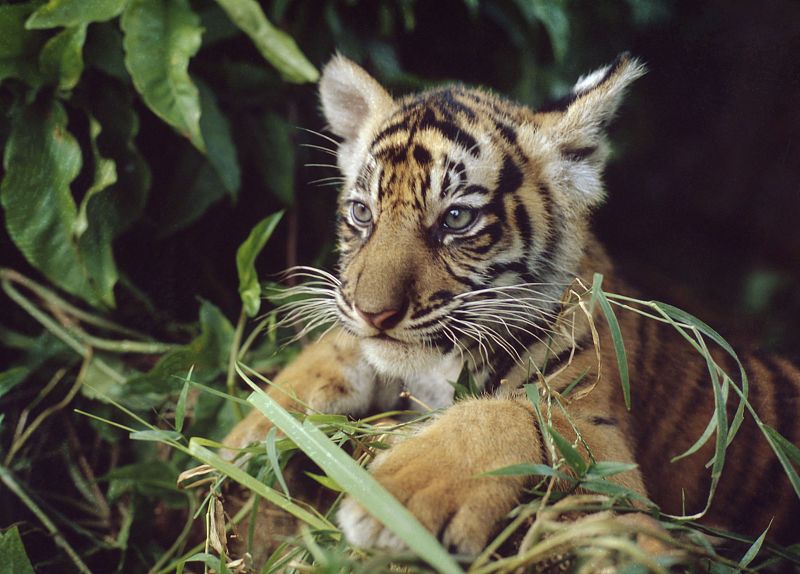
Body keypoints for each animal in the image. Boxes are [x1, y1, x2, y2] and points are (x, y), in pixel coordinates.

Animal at [224, 54, 800, 560]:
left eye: (456, 219)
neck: (436, 370)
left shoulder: (610, 465)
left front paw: (395, 500)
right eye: (362, 213)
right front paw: (250, 428)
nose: (374, 314)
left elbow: (515, 411)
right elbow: (337, 350)